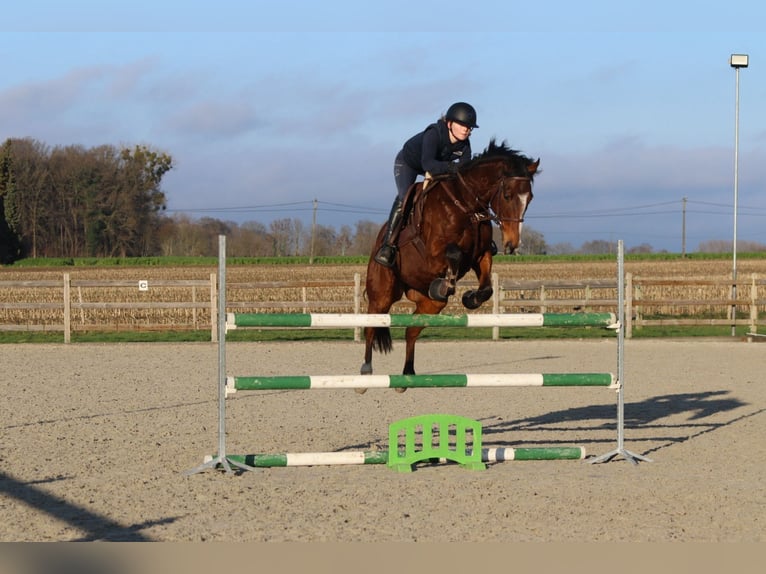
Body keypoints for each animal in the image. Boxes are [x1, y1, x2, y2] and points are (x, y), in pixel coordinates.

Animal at [360, 139, 540, 381]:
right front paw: (446, 284)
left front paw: (469, 298)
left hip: (430, 303)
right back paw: (365, 372)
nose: (512, 245)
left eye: (529, 198)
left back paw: (407, 375)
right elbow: (454, 253)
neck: (466, 205)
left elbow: (486, 288)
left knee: (411, 329)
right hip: (382, 294)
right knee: (371, 326)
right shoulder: (433, 253)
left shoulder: (481, 254)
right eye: (507, 195)